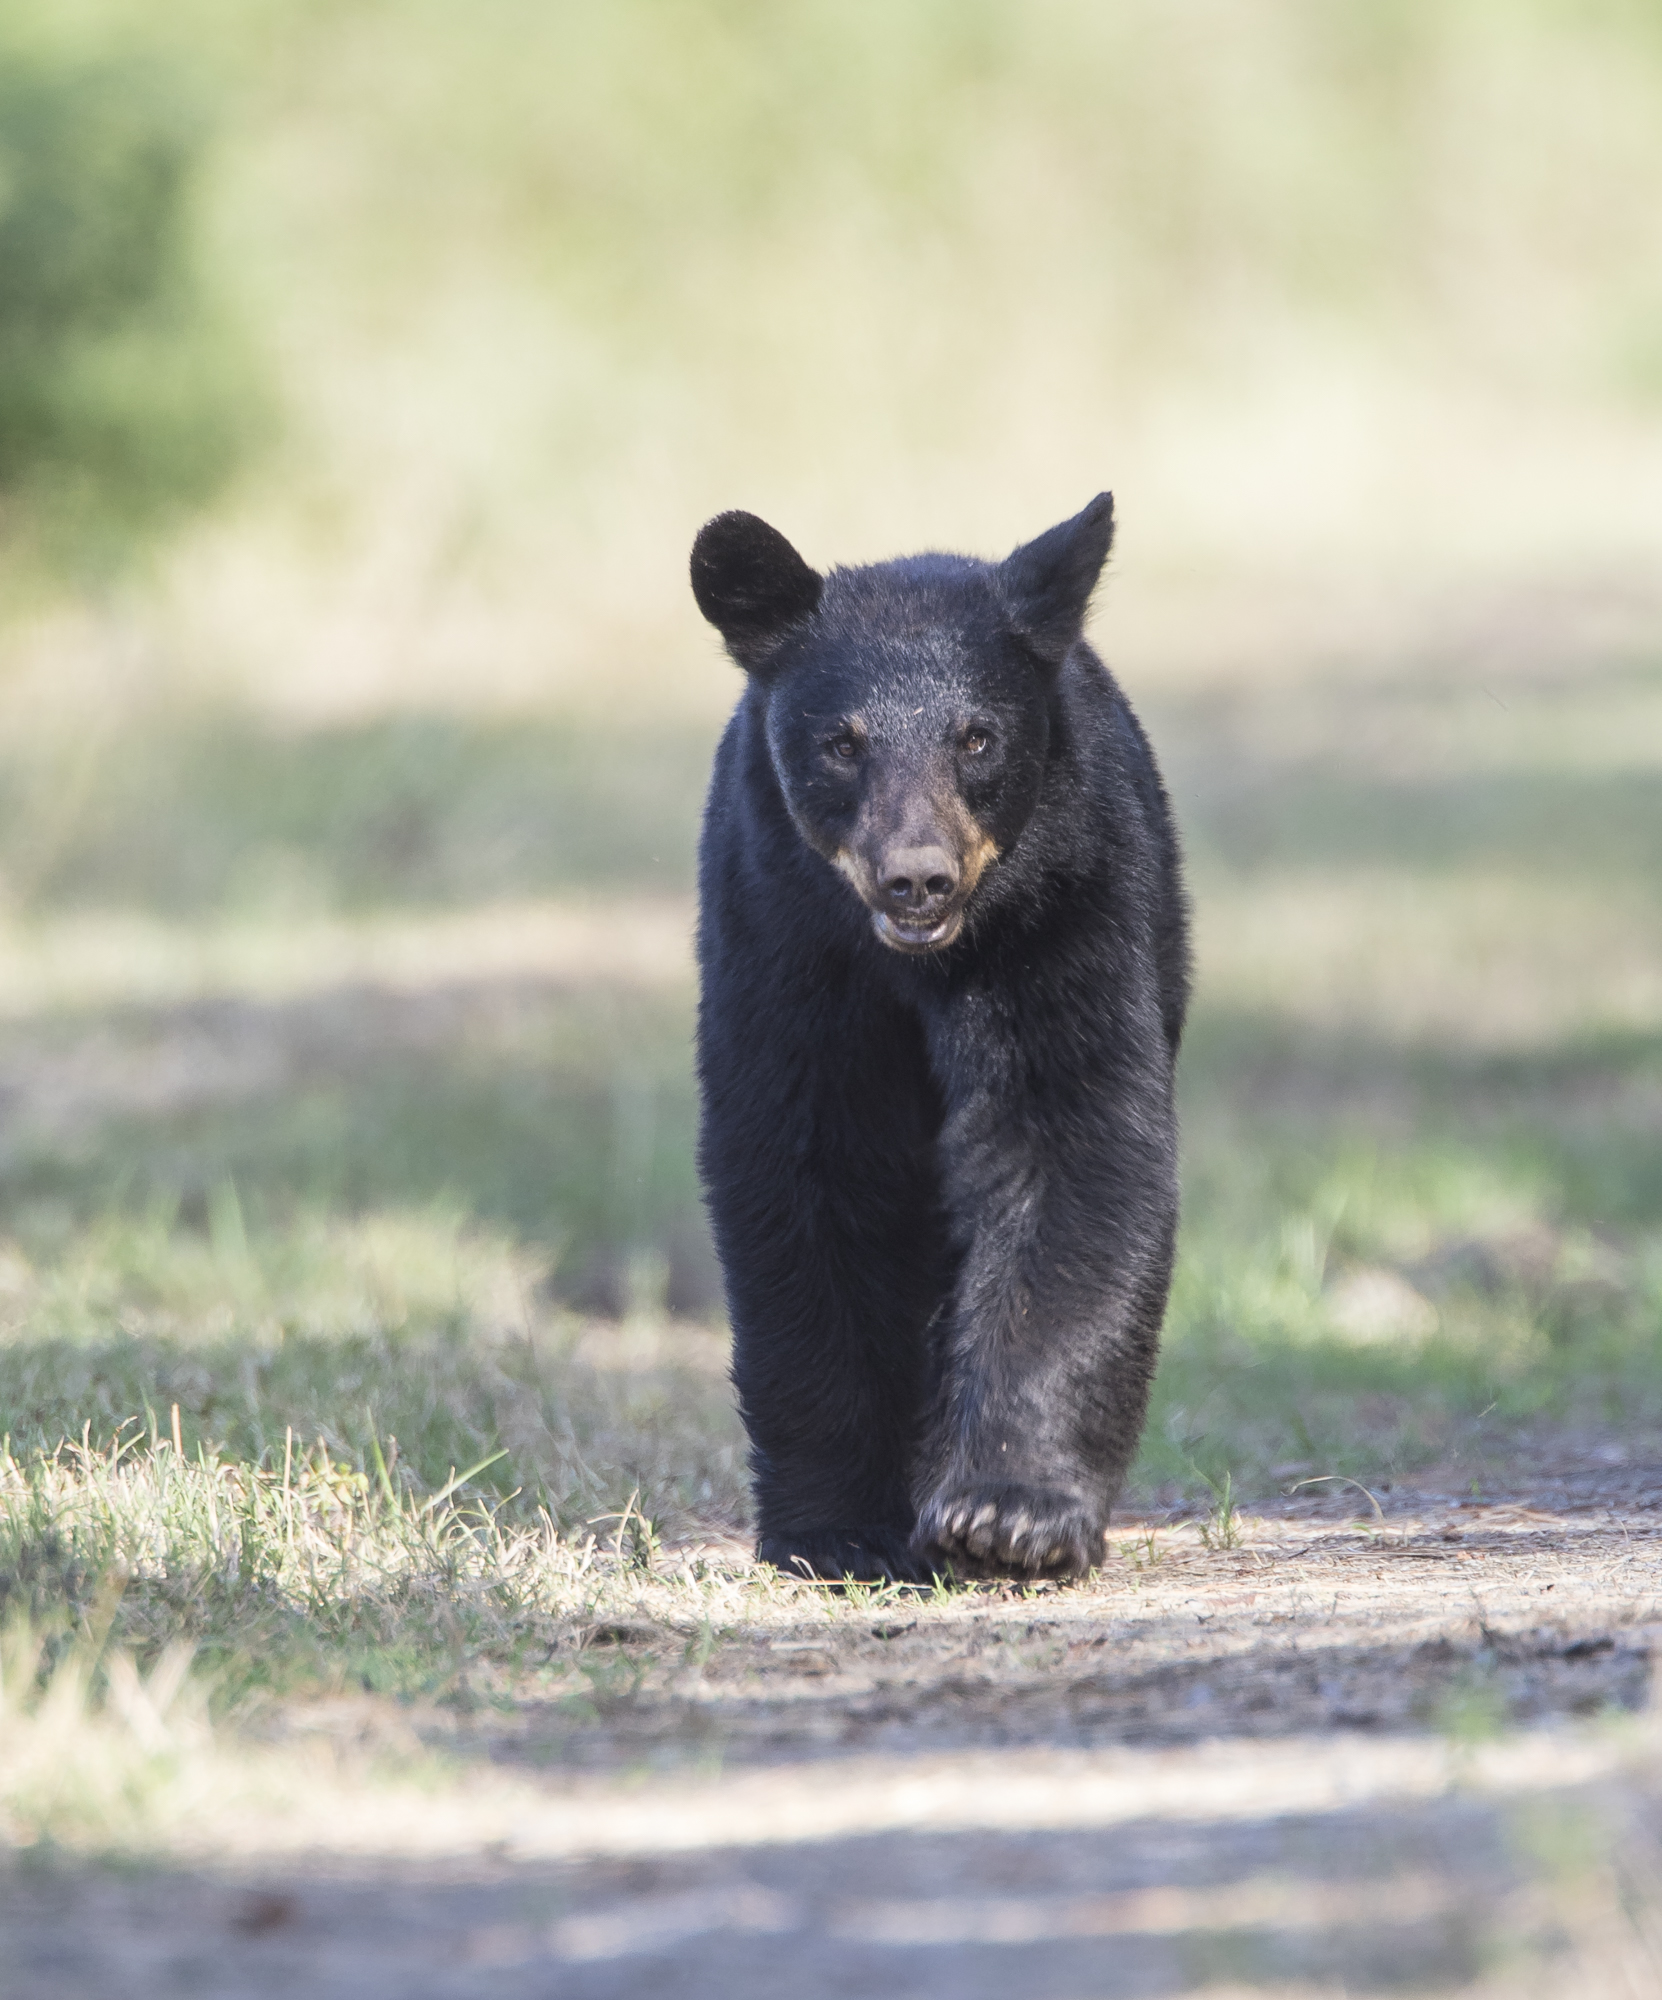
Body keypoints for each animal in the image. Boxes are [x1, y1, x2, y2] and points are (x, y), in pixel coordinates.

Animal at [690, 494, 1189, 1583]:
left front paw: (1012, 1513)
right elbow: (808, 1169)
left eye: (978, 737)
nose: (916, 877)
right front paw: (834, 1526)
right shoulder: (783, 945)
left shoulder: (1066, 912)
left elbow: (1068, 1144)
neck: (915, 968)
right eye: (842, 742)